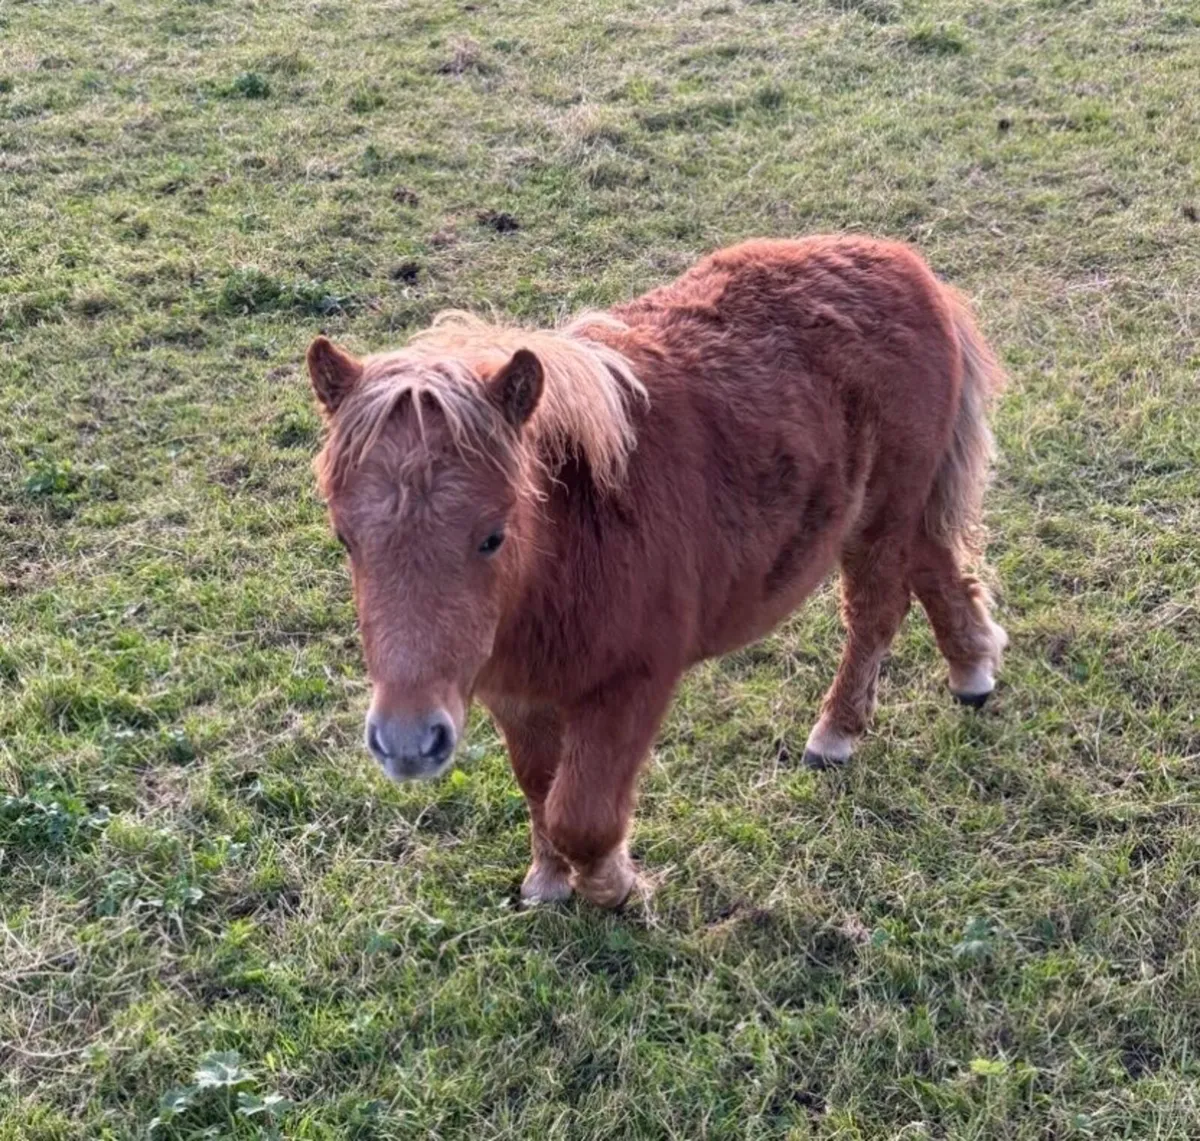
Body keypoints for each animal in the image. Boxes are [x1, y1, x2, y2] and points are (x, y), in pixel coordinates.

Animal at [307, 235, 1007, 908]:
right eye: (346, 538)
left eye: (492, 537)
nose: (406, 744)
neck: (572, 541)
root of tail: (907, 268)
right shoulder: (515, 695)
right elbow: (539, 788)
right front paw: (548, 881)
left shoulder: (634, 683)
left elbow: (580, 812)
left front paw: (614, 886)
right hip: (896, 512)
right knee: (934, 565)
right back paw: (974, 667)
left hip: (879, 521)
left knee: (876, 612)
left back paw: (837, 733)